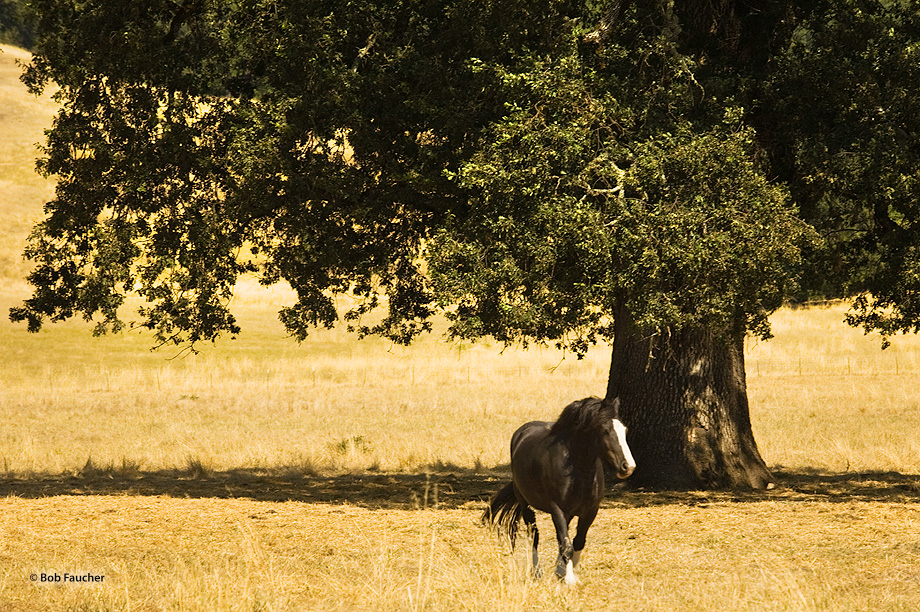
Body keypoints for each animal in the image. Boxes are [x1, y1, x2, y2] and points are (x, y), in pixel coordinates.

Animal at [478, 396, 636, 584]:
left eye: (624, 430)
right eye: (605, 431)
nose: (628, 466)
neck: (578, 471)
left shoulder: (590, 511)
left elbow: (577, 541)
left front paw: (567, 572)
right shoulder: (558, 509)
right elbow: (566, 544)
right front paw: (569, 578)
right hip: (526, 505)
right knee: (534, 536)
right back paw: (537, 572)